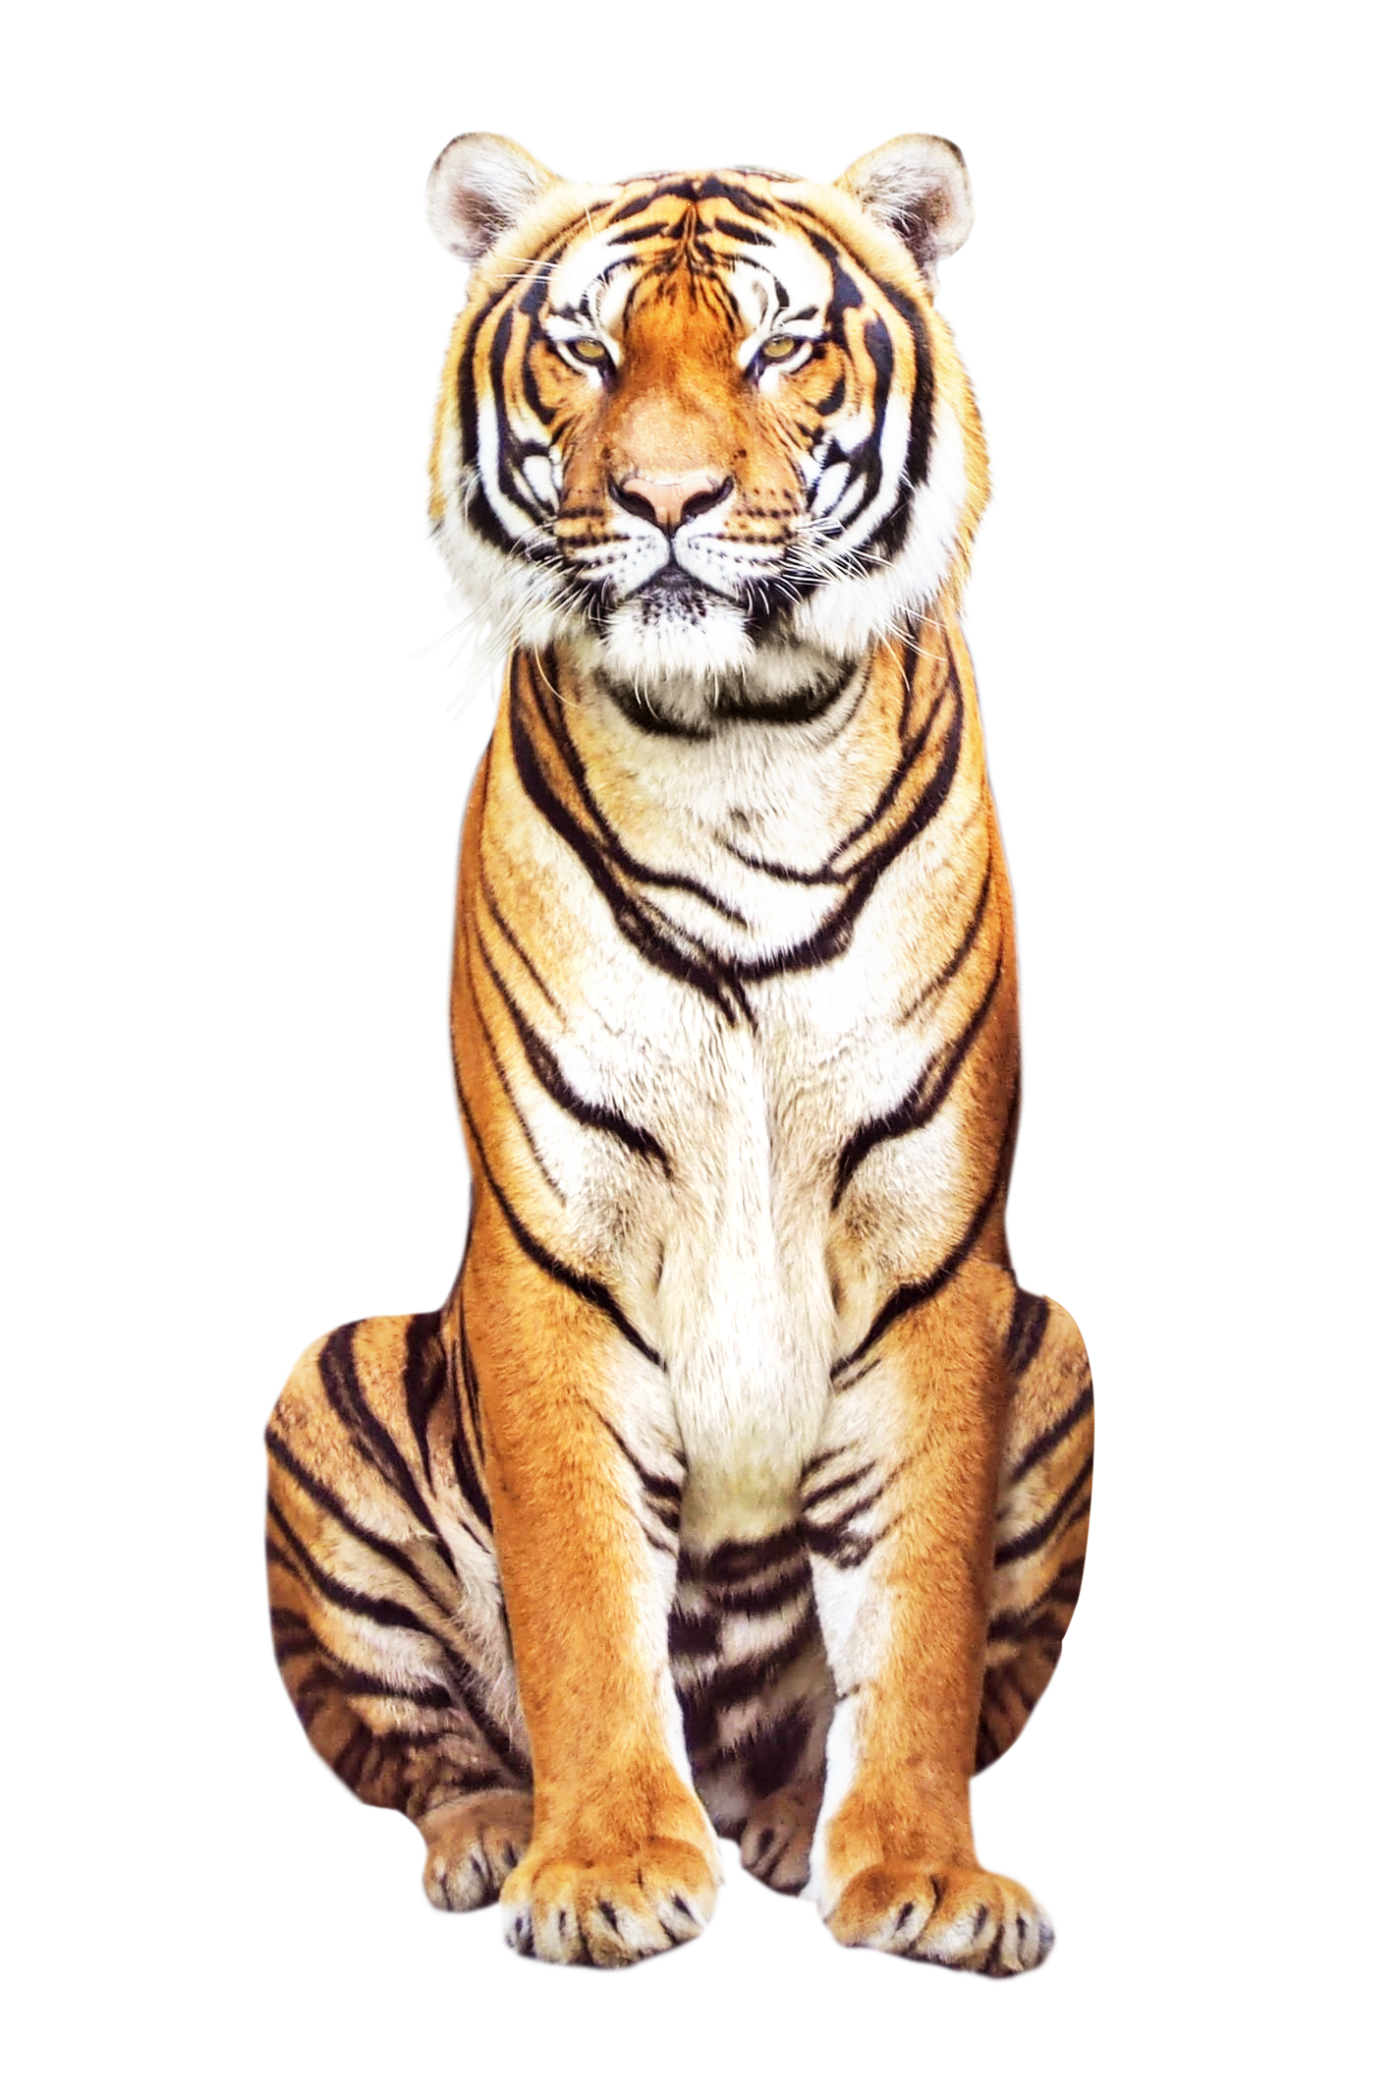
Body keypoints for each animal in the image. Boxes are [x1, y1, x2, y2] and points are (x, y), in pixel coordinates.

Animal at [261, 129, 1095, 1980]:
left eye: (781, 349)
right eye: (586, 348)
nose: (664, 502)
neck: (738, 747)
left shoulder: (935, 1253)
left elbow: (920, 1606)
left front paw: (922, 1872)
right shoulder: (554, 1247)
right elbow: (581, 1594)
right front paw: (599, 1871)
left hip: (1061, 1350)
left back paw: (785, 1821)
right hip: (327, 1385)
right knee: (415, 1745)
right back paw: (496, 1838)